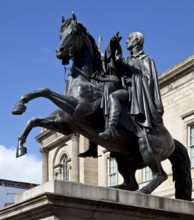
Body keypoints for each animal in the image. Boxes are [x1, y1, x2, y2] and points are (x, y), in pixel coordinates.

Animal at [12, 12, 192, 200]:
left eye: (73, 32)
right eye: (60, 33)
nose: (59, 52)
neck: (86, 79)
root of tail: (173, 142)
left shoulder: (79, 109)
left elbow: (46, 91)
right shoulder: (65, 125)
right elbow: (33, 118)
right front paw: (20, 139)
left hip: (146, 147)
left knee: (160, 175)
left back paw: (143, 191)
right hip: (123, 157)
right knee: (131, 182)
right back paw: (115, 189)